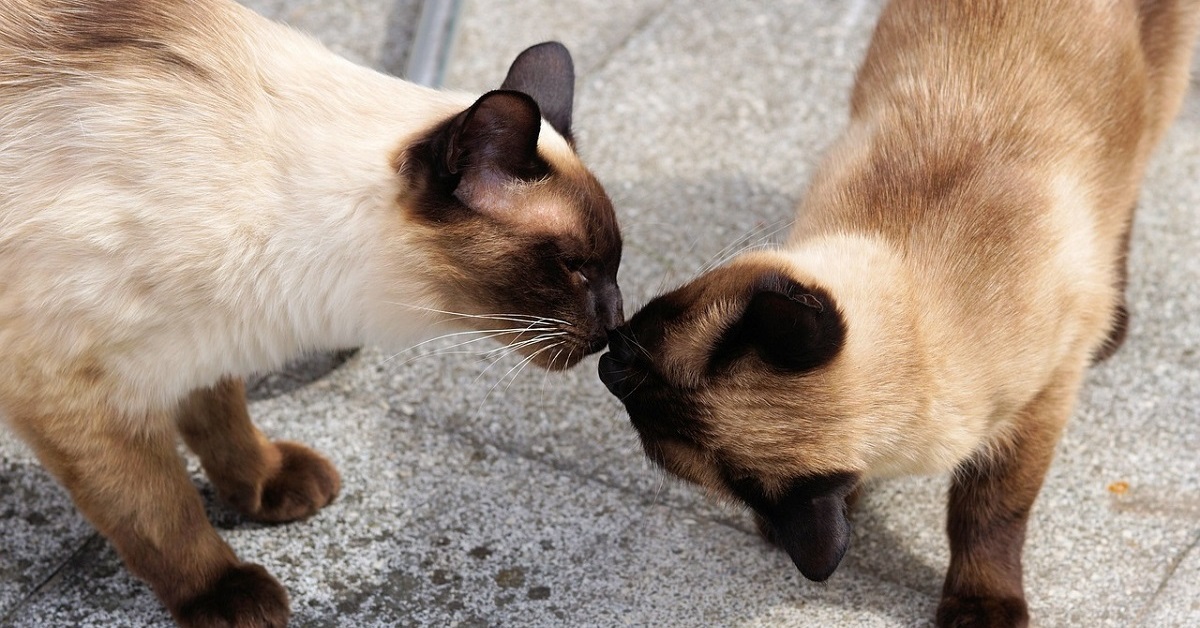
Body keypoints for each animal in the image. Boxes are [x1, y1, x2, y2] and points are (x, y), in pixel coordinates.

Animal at [7, 1, 628, 628]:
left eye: (614, 266)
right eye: (575, 268)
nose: (615, 326)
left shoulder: (201, 338)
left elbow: (222, 419)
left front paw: (262, 484)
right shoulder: (72, 386)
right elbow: (159, 510)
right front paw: (224, 592)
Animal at [600, 1, 1200, 628]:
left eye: (644, 343)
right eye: (634, 391)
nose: (607, 363)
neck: (929, 324)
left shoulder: (1037, 406)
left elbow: (990, 516)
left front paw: (982, 605)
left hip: (1157, 100)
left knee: (1128, 193)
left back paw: (1112, 322)